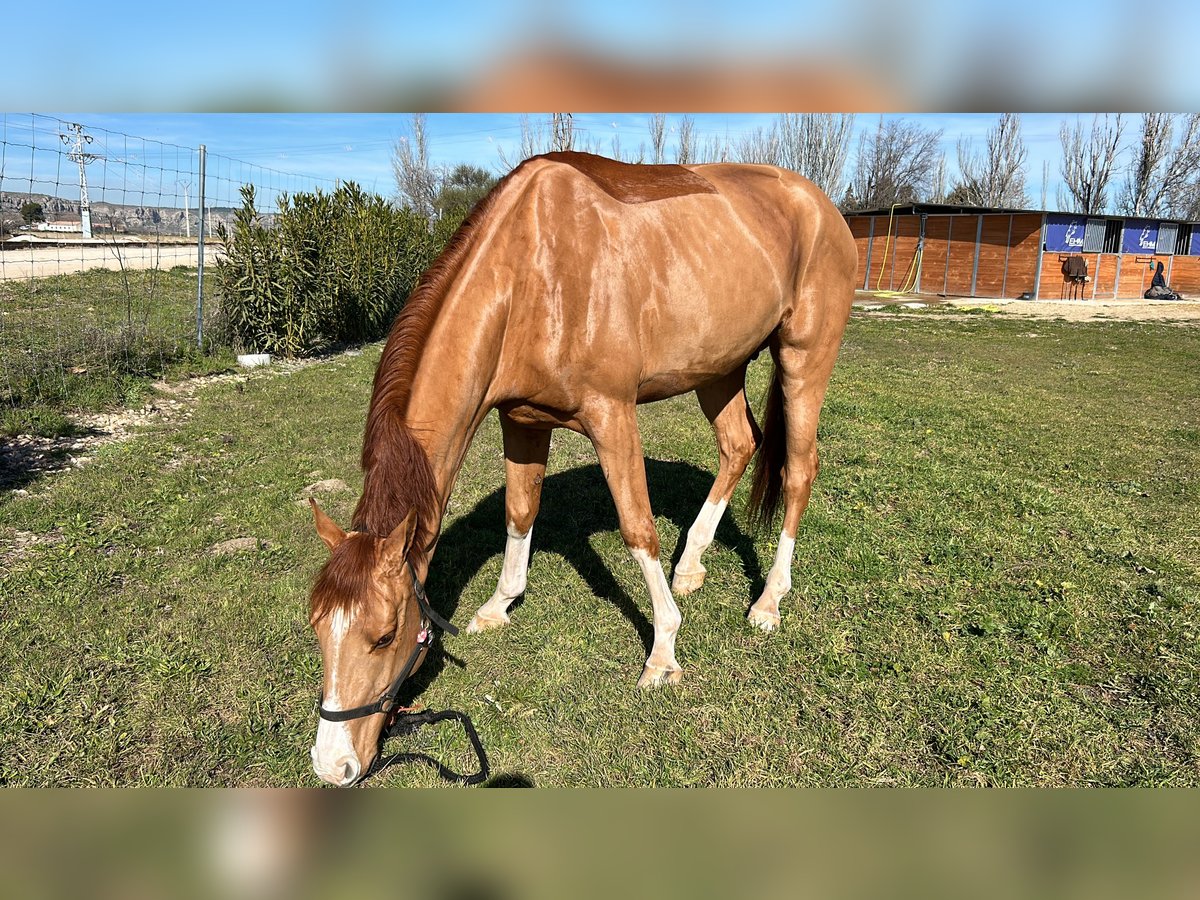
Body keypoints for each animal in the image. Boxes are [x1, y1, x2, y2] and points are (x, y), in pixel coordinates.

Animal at [304, 151, 859, 787]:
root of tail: (819, 205)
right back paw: (691, 563)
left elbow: (637, 528)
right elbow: (521, 512)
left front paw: (663, 654)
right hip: (718, 367)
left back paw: (769, 599)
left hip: (803, 358)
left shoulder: (612, 416)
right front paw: (500, 604)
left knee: (798, 468)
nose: (332, 764)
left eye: (385, 636)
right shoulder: (521, 422)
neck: (528, 275)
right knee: (739, 447)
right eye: (317, 628)